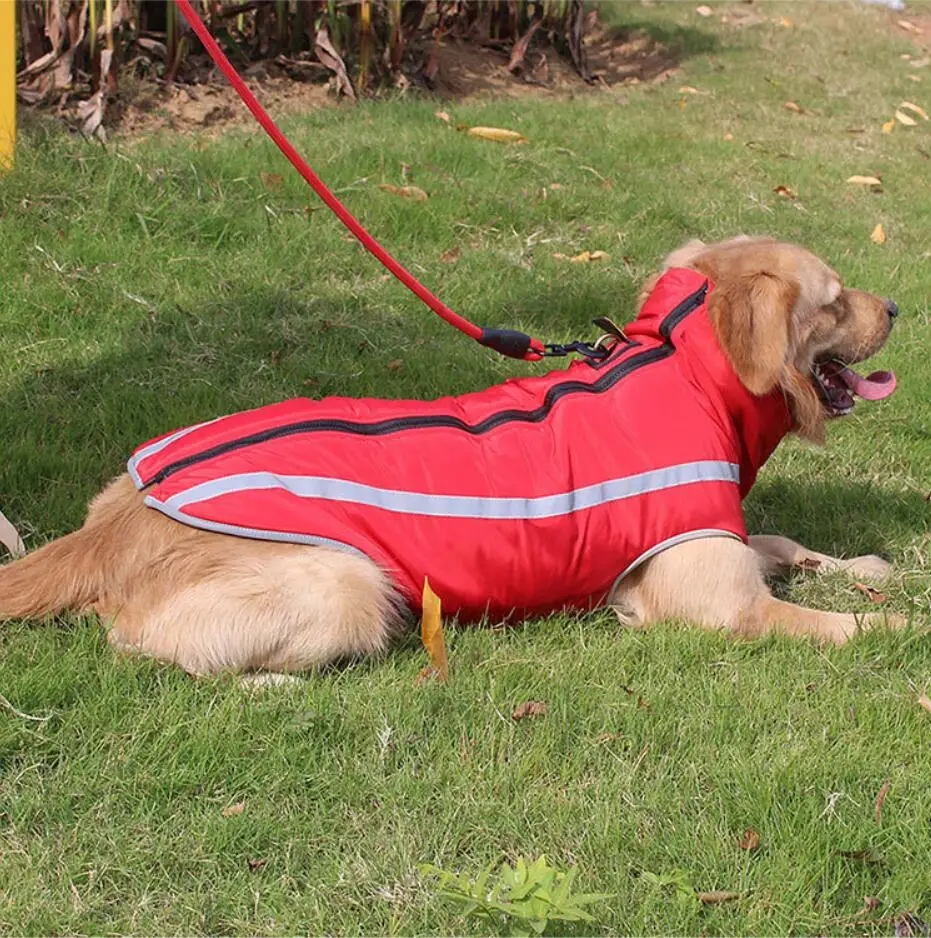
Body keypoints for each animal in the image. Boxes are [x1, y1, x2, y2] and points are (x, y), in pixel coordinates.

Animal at [0, 233, 904, 672]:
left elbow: (781, 540)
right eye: (833, 301)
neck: (681, 368)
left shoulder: (710, 534)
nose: (896, 305)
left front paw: (866, 566)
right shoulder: (718, 604)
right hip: (350, 586)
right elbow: (848, 628)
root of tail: (114, 526)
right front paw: (892, 623)